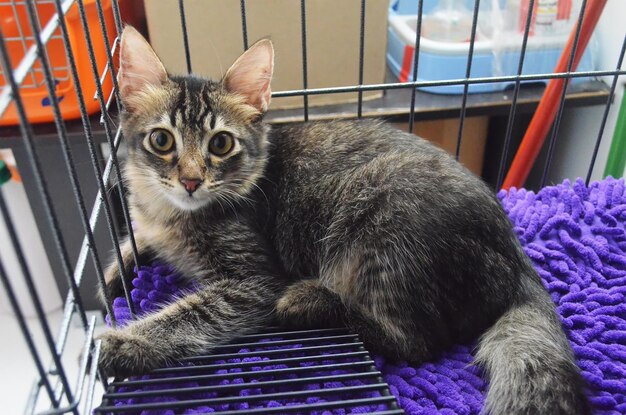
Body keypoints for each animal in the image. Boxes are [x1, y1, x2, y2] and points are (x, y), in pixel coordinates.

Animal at [98, 26, 588, 415]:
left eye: (220, 145)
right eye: (162, 140)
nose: (191, 180)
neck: (173, 214)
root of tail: (516, 256)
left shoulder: (253, 281)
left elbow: (194, 313)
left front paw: (129, 341)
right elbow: (135, 243)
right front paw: (116, 268)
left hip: (385, 222)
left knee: (413, 341)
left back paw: (311, 302)